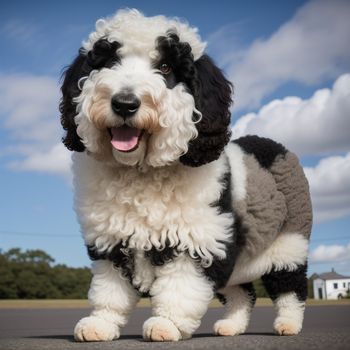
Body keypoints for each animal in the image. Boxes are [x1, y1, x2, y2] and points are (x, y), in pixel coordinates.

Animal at [59, 8, 312, 342]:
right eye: (109, 61)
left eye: (165, 67)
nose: (125, 103)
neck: (141, 171)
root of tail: (273, 146)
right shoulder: (112, 242)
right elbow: (109, 290)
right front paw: (101, 323)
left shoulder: (198, 238)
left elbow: (180, 288)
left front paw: (167, 324)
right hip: (240, 261)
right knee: (242, 292)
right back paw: (231, 326)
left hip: (289, 240)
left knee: (289, 287)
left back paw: (289, 324)